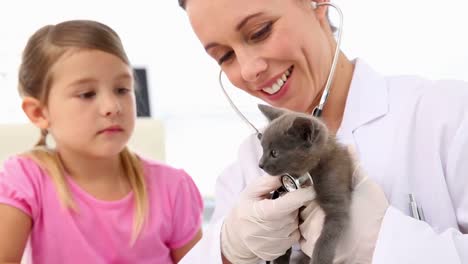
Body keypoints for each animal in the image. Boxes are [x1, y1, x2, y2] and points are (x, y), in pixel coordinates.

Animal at [258, 104, 352, 262]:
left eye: (274, 153)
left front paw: (320, 260)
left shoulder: (336, 197)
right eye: (262, 149)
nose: (260, 164)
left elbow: (328, 236)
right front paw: (280, 259)